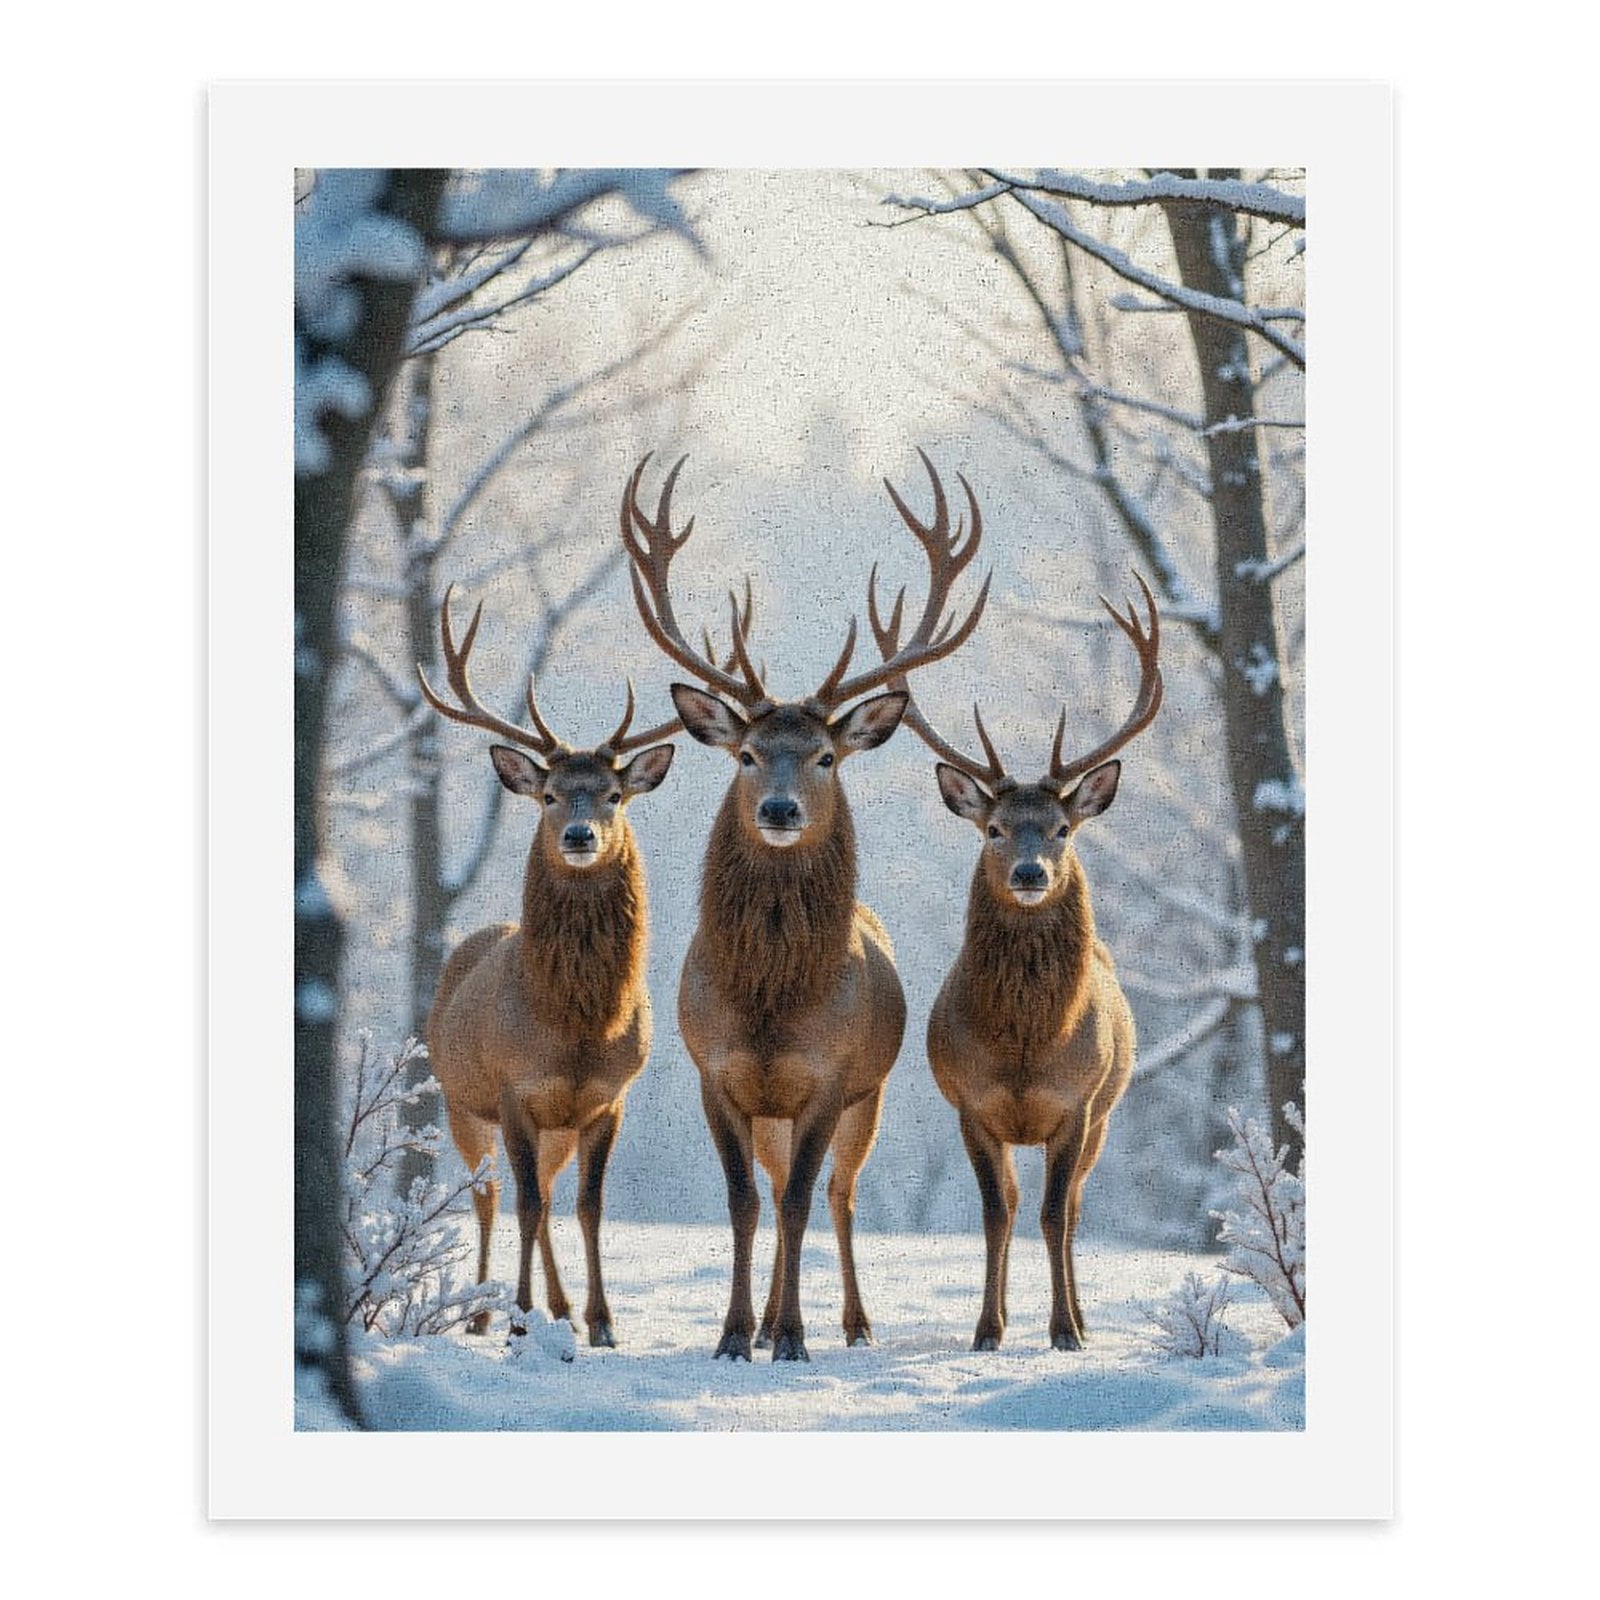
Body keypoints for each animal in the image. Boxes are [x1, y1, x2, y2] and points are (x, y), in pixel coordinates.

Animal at [416, 583, 749, 1346]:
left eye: (614, 794)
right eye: (547, 795)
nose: (578, 834)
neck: (573, 1027)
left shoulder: (604, 1097)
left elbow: (588, 1206)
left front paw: (601, 1324)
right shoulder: (513, 1089)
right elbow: (525, 1204)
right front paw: (517, 1324)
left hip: (552, 1127)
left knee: (540, 1192)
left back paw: (559, 1310)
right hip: (457, 1097)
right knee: (492, 1196)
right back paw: (485, 1313)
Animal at [619, 448, 991, 1362]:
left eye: (825, 755)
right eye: (748, 753)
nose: (780, 811)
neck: (769, 1003)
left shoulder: (829, 1079)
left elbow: (795, 1203)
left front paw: (789, 1336)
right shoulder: (715, 1074)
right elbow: (744, 1202)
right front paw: (731, 1335)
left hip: (868, 1101)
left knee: (835, 1195)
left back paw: (851, 1323)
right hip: (774, 1112)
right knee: (782, 1186)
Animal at [874, 573, 1163, 1352]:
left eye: (1062, 828)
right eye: (995, 829)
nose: (1032, 873)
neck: (1027, 1048)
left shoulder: (1077, 1104)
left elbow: (1053, 1215)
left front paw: (1065, 1331)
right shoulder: (971, 1105)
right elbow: (996, 1212)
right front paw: (987, 1329)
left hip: (1107, 1115)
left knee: (1078, 1208)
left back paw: (1084, 1318)